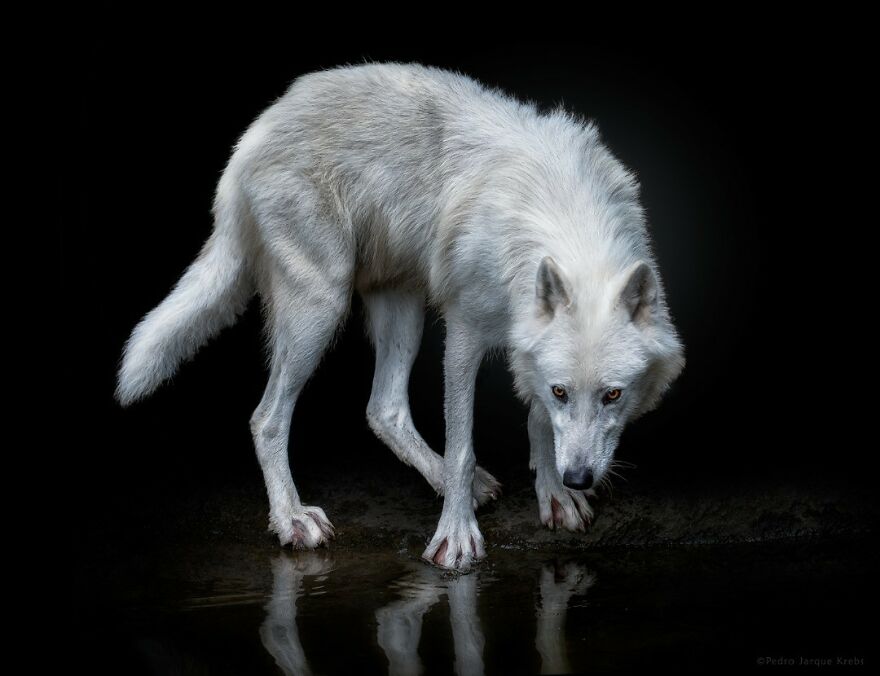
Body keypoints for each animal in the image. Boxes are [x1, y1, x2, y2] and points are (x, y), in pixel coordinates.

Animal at [116, 63, 684, 572]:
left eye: (613, 395)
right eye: (564, 391)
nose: (579, 479)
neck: (561, 217)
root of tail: (255, 134)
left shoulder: (527, 349)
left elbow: (536, 421)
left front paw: (554, 497)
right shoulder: (464, 334)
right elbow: (463, 445)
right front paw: (456, 539)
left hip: (402, 313)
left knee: (382, 409)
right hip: (321, 307)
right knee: (267, 418)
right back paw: (293, 518)